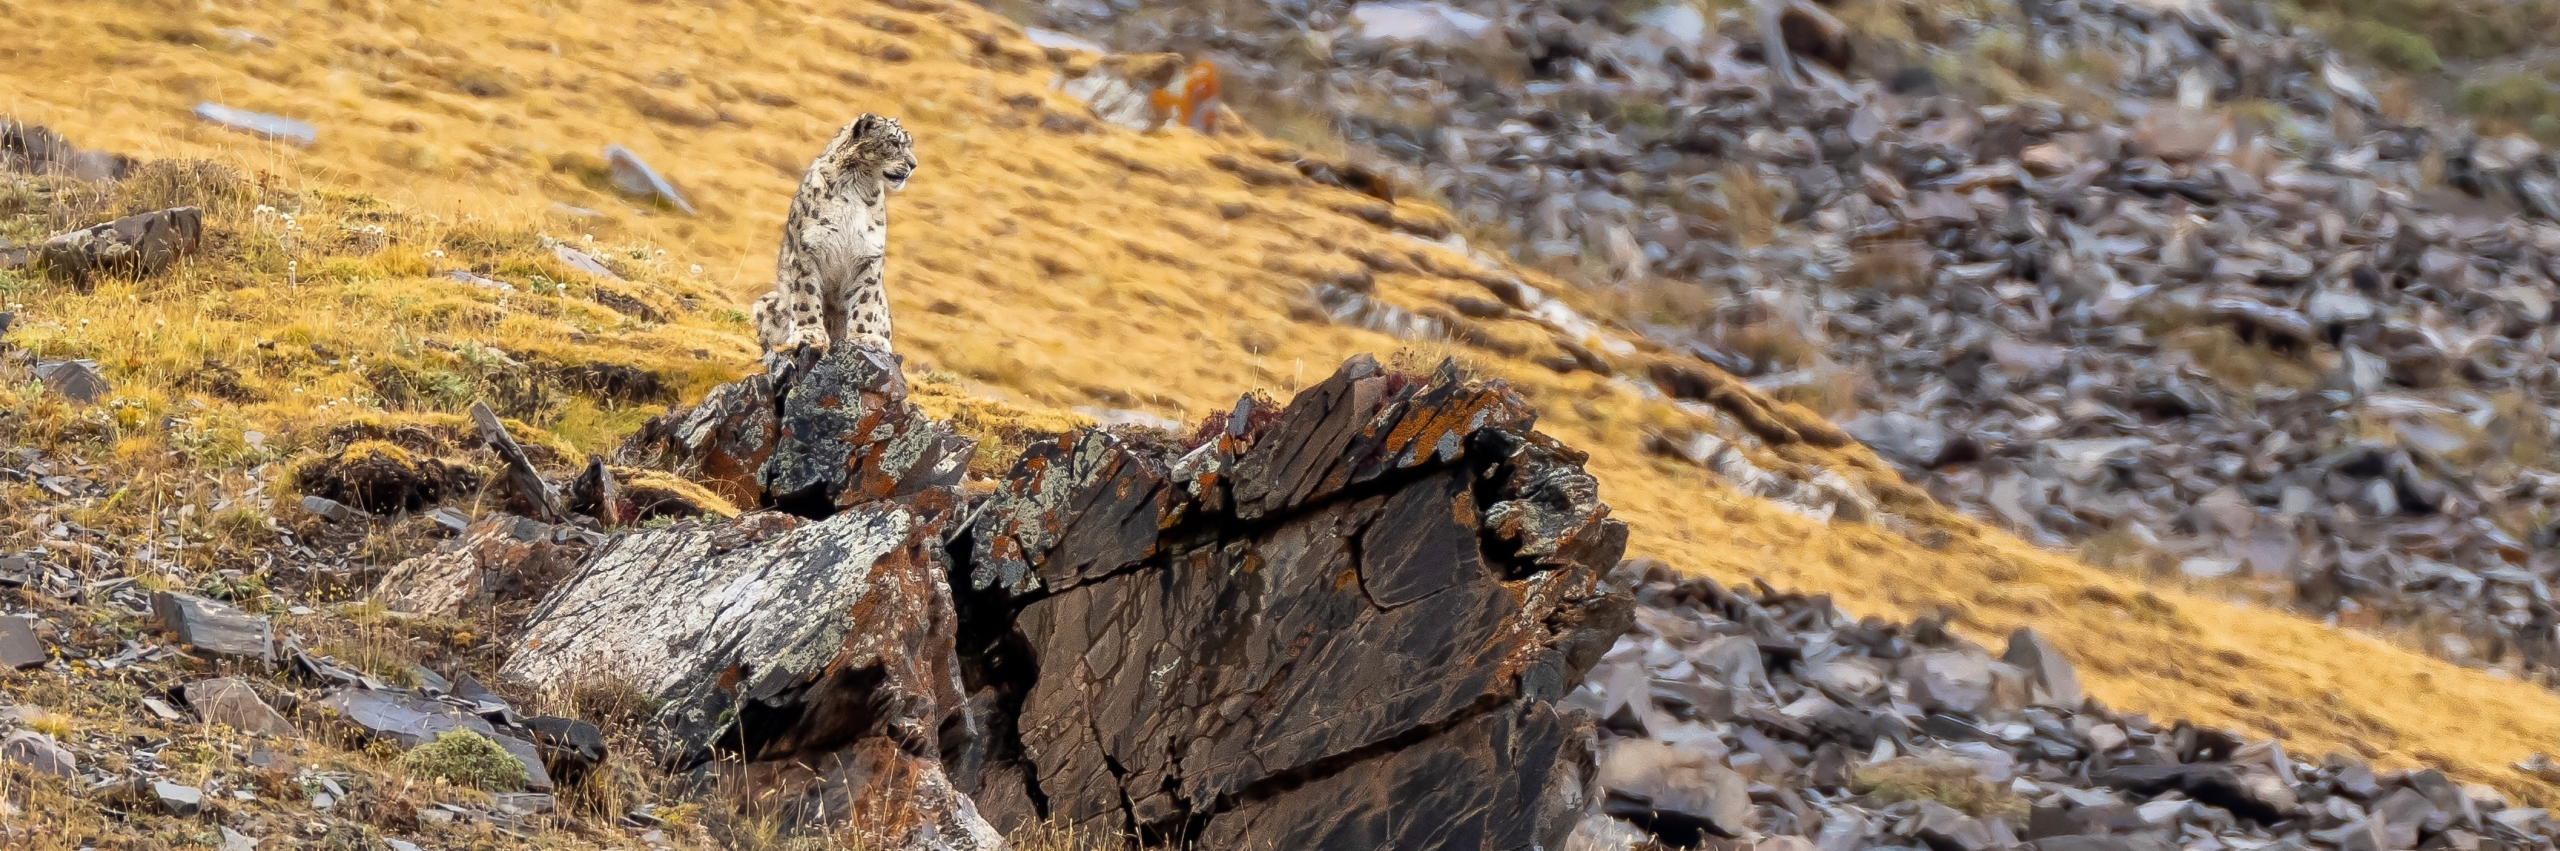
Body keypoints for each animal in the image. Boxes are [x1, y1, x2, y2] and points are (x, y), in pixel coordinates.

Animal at [751, 113, 916, 355]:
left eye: (909, 144)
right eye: (894, 142)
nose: (914, 164)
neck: (857, 186)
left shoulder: (870, 256)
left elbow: (866, 301)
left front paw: (865, 337)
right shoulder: (806, 252)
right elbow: (806, 295)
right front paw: (810, 333)